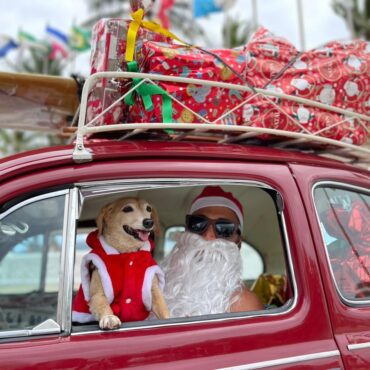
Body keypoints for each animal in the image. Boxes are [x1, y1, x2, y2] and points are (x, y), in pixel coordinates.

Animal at [88, 197, 171, 330]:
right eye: (127, 209)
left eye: (148, 208)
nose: (149, 222)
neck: (127, 252)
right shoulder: (97, 294)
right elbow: (104, 305)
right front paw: (109, 317)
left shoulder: (153, 289)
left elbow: (163, 308)